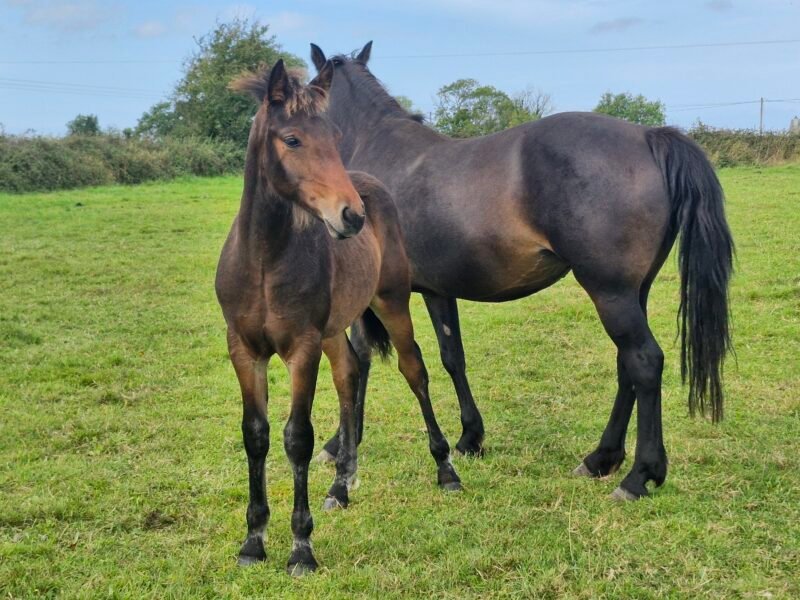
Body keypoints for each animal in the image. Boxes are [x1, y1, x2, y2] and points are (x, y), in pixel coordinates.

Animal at [215, 59, 461, 575]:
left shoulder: (302, 349)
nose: (351, 216)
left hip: (391, 303)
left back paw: (446, 469)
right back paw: (341, 487)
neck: (263, 260)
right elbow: (256, 435)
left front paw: (301, 548)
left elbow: (297, 438)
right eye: (291, 139)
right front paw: (253, 541)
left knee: (415, 371)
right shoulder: (243, 349)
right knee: (349, 374)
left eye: (334, 134)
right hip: (334, 329)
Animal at [308, 42, 734, 501]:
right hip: (633, 292)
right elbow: (452, 357)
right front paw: (470, 438)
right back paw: (600, 459)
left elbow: (361, 362)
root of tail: (647, 137)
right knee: (628, 366)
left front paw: (336, 447)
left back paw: (638, 476)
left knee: (644, 361)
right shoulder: (437, 290)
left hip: (611, 292)